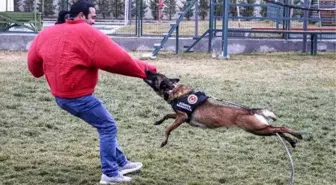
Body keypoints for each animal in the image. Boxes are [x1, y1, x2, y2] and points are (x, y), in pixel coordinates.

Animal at [143, 70, 304, 148]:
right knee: (276, 130)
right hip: (260, 129)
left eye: (155, 76)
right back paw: (292, 141)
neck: (172, 90)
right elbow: (166, 116)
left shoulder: (181, 118)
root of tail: (250, 110)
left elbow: (168, 129)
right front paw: (158, 122)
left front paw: (164, 141)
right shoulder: (180, 117)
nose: (147, 70)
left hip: (256, 129)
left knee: (280, 128)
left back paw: (297, 134)